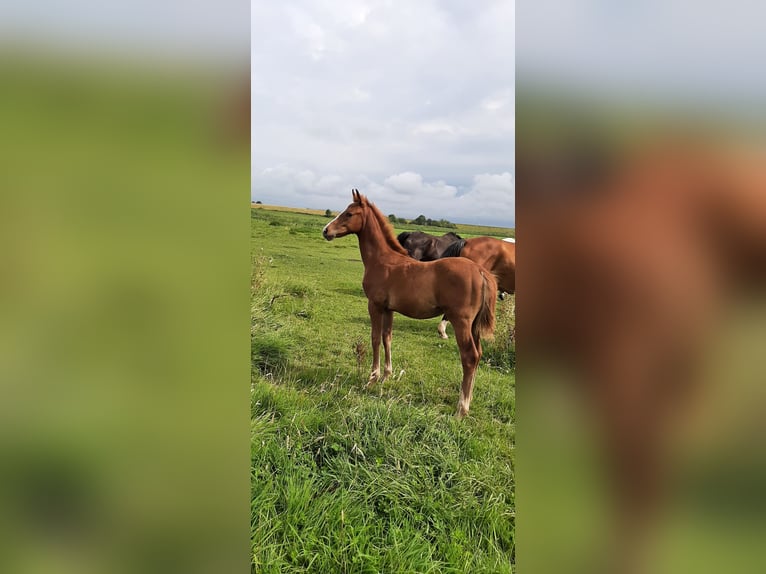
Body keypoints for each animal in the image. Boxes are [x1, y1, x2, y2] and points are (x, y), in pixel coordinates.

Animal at [322, 190, 498, 418]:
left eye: (349, 214)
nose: (326, 231)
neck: (382, 260)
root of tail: (480, 271)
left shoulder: (374, 305)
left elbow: (375, 339)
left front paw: (372, 379)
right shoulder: (389, 309)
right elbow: (387, 338)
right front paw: (386, 376)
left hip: (461, 322)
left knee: (469, 356)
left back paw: (461, 408)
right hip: (474, 325)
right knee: (478, 355)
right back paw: (470, 399)